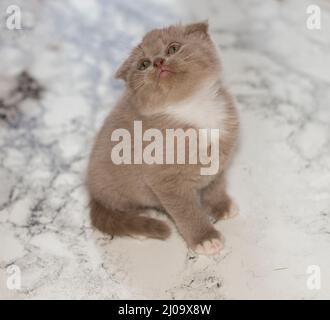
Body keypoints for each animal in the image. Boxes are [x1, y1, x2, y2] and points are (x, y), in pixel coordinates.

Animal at [87, 21, 240, 255]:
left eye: (173, 48)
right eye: (143, 64)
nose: (158, 62)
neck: (191, 106)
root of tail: (91, 192)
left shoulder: (219, 159)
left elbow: (216, 185)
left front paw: (221, 206)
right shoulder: (165, 181)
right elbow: (187, 212)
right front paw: (205, 238)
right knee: (113, 211)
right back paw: (140, 226)